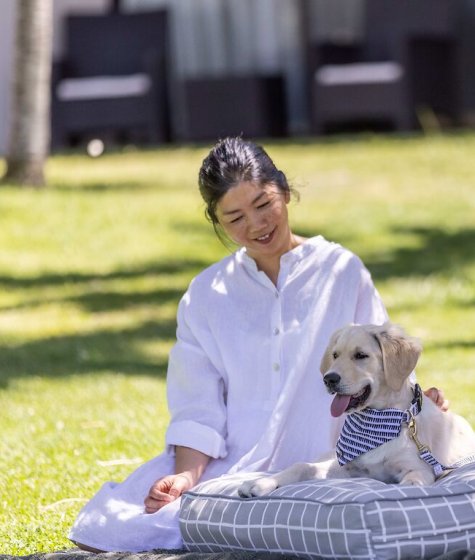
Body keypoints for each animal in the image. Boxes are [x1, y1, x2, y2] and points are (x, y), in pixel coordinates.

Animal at [240, 322, 475, 496]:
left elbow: (412, 480)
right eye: (335, 355)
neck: (377, 422)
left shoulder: (420, 468)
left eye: (361, 355)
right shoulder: (349, 469)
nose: (329, 379)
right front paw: (260, 483)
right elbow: (303, 466)